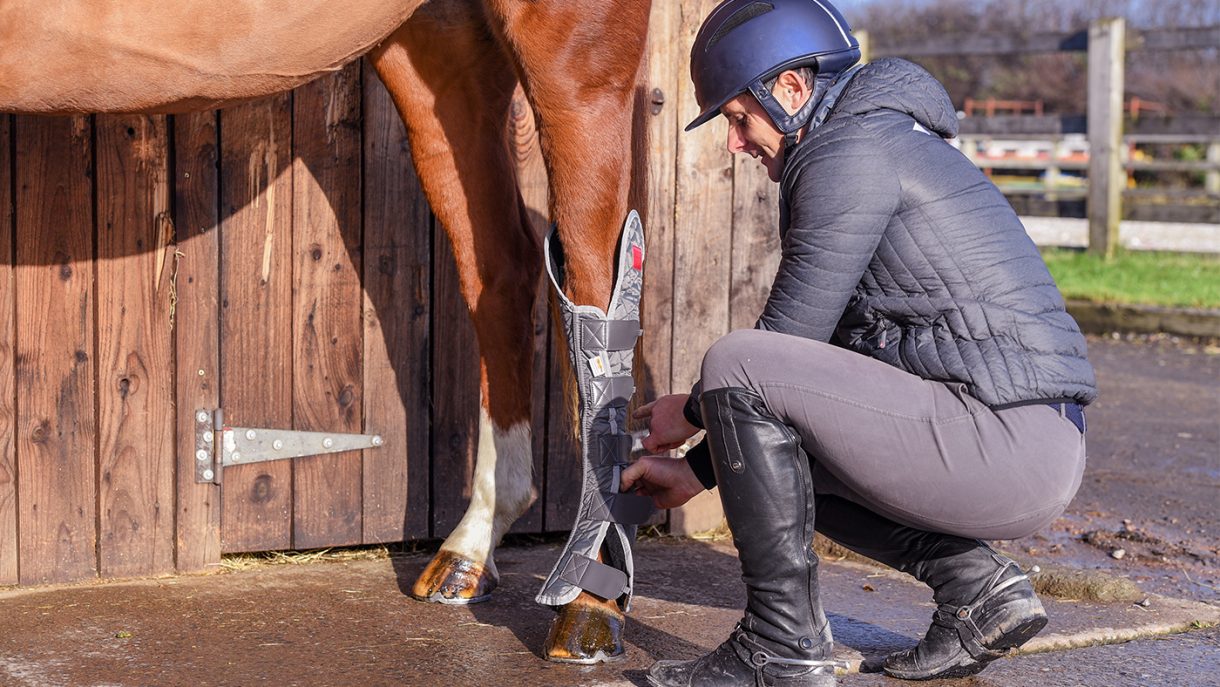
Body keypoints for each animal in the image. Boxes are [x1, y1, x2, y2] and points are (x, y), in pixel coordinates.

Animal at [0, 0, 653, 662]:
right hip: (439, 51)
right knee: (502, 269)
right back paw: (471, 550)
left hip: (575, 58)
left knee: (598, 288)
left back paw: (591, 603)